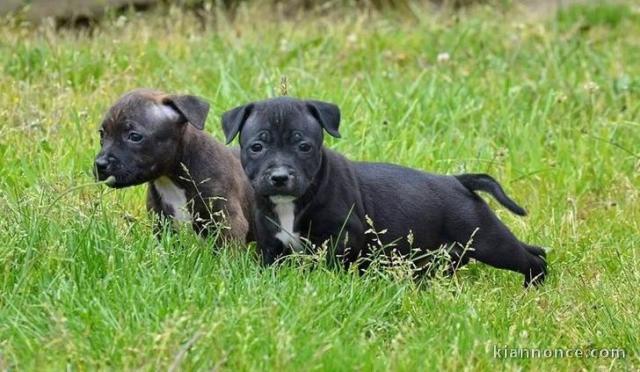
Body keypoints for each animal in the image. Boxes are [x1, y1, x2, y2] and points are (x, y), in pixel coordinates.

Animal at [94, 88, 254, 243]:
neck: (170, 179)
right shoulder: (161, 223)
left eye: (134, 136)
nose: (100, 164)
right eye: (102, 134)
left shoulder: (228, 222)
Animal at [222, 97, 548, 286]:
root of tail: (458, 181)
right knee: (533, 250)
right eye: (256, 147)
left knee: (530, 259)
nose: (279, 177)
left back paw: (533, 285)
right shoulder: (271, 246)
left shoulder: (343, 237)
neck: (292, 203)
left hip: (486, 240)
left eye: (304, 147)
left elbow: (332, 265)